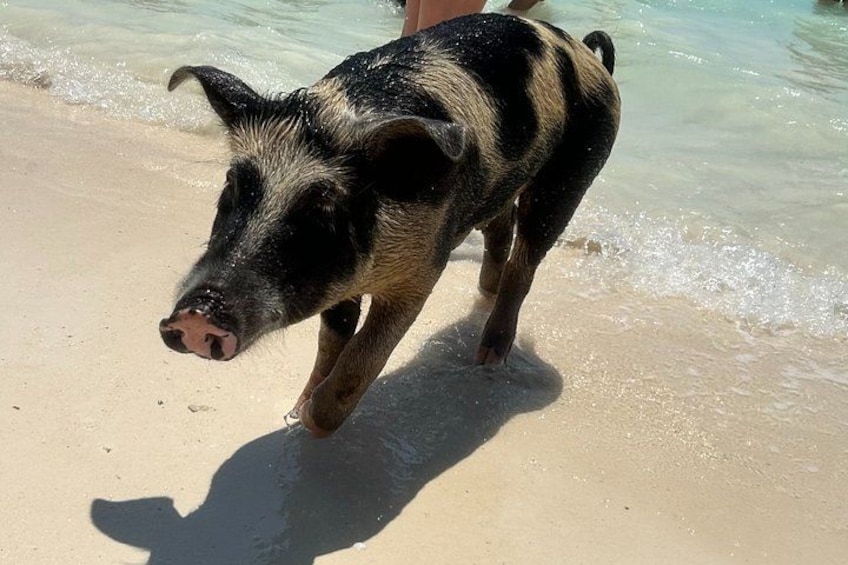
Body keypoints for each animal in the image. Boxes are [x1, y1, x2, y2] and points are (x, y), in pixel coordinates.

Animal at [159, 13, 620, 437]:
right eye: (232, 185)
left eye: (325, 206)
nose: (199, 311)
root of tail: (586, 54)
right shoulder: (340, 285)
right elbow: (333, 340)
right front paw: (296, 407)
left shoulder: (423, 269)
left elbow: (364, 357)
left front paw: (308, 419)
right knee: (499, 228)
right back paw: (484, 295)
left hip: (573, 175)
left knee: (526, 261)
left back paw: (489, 356)